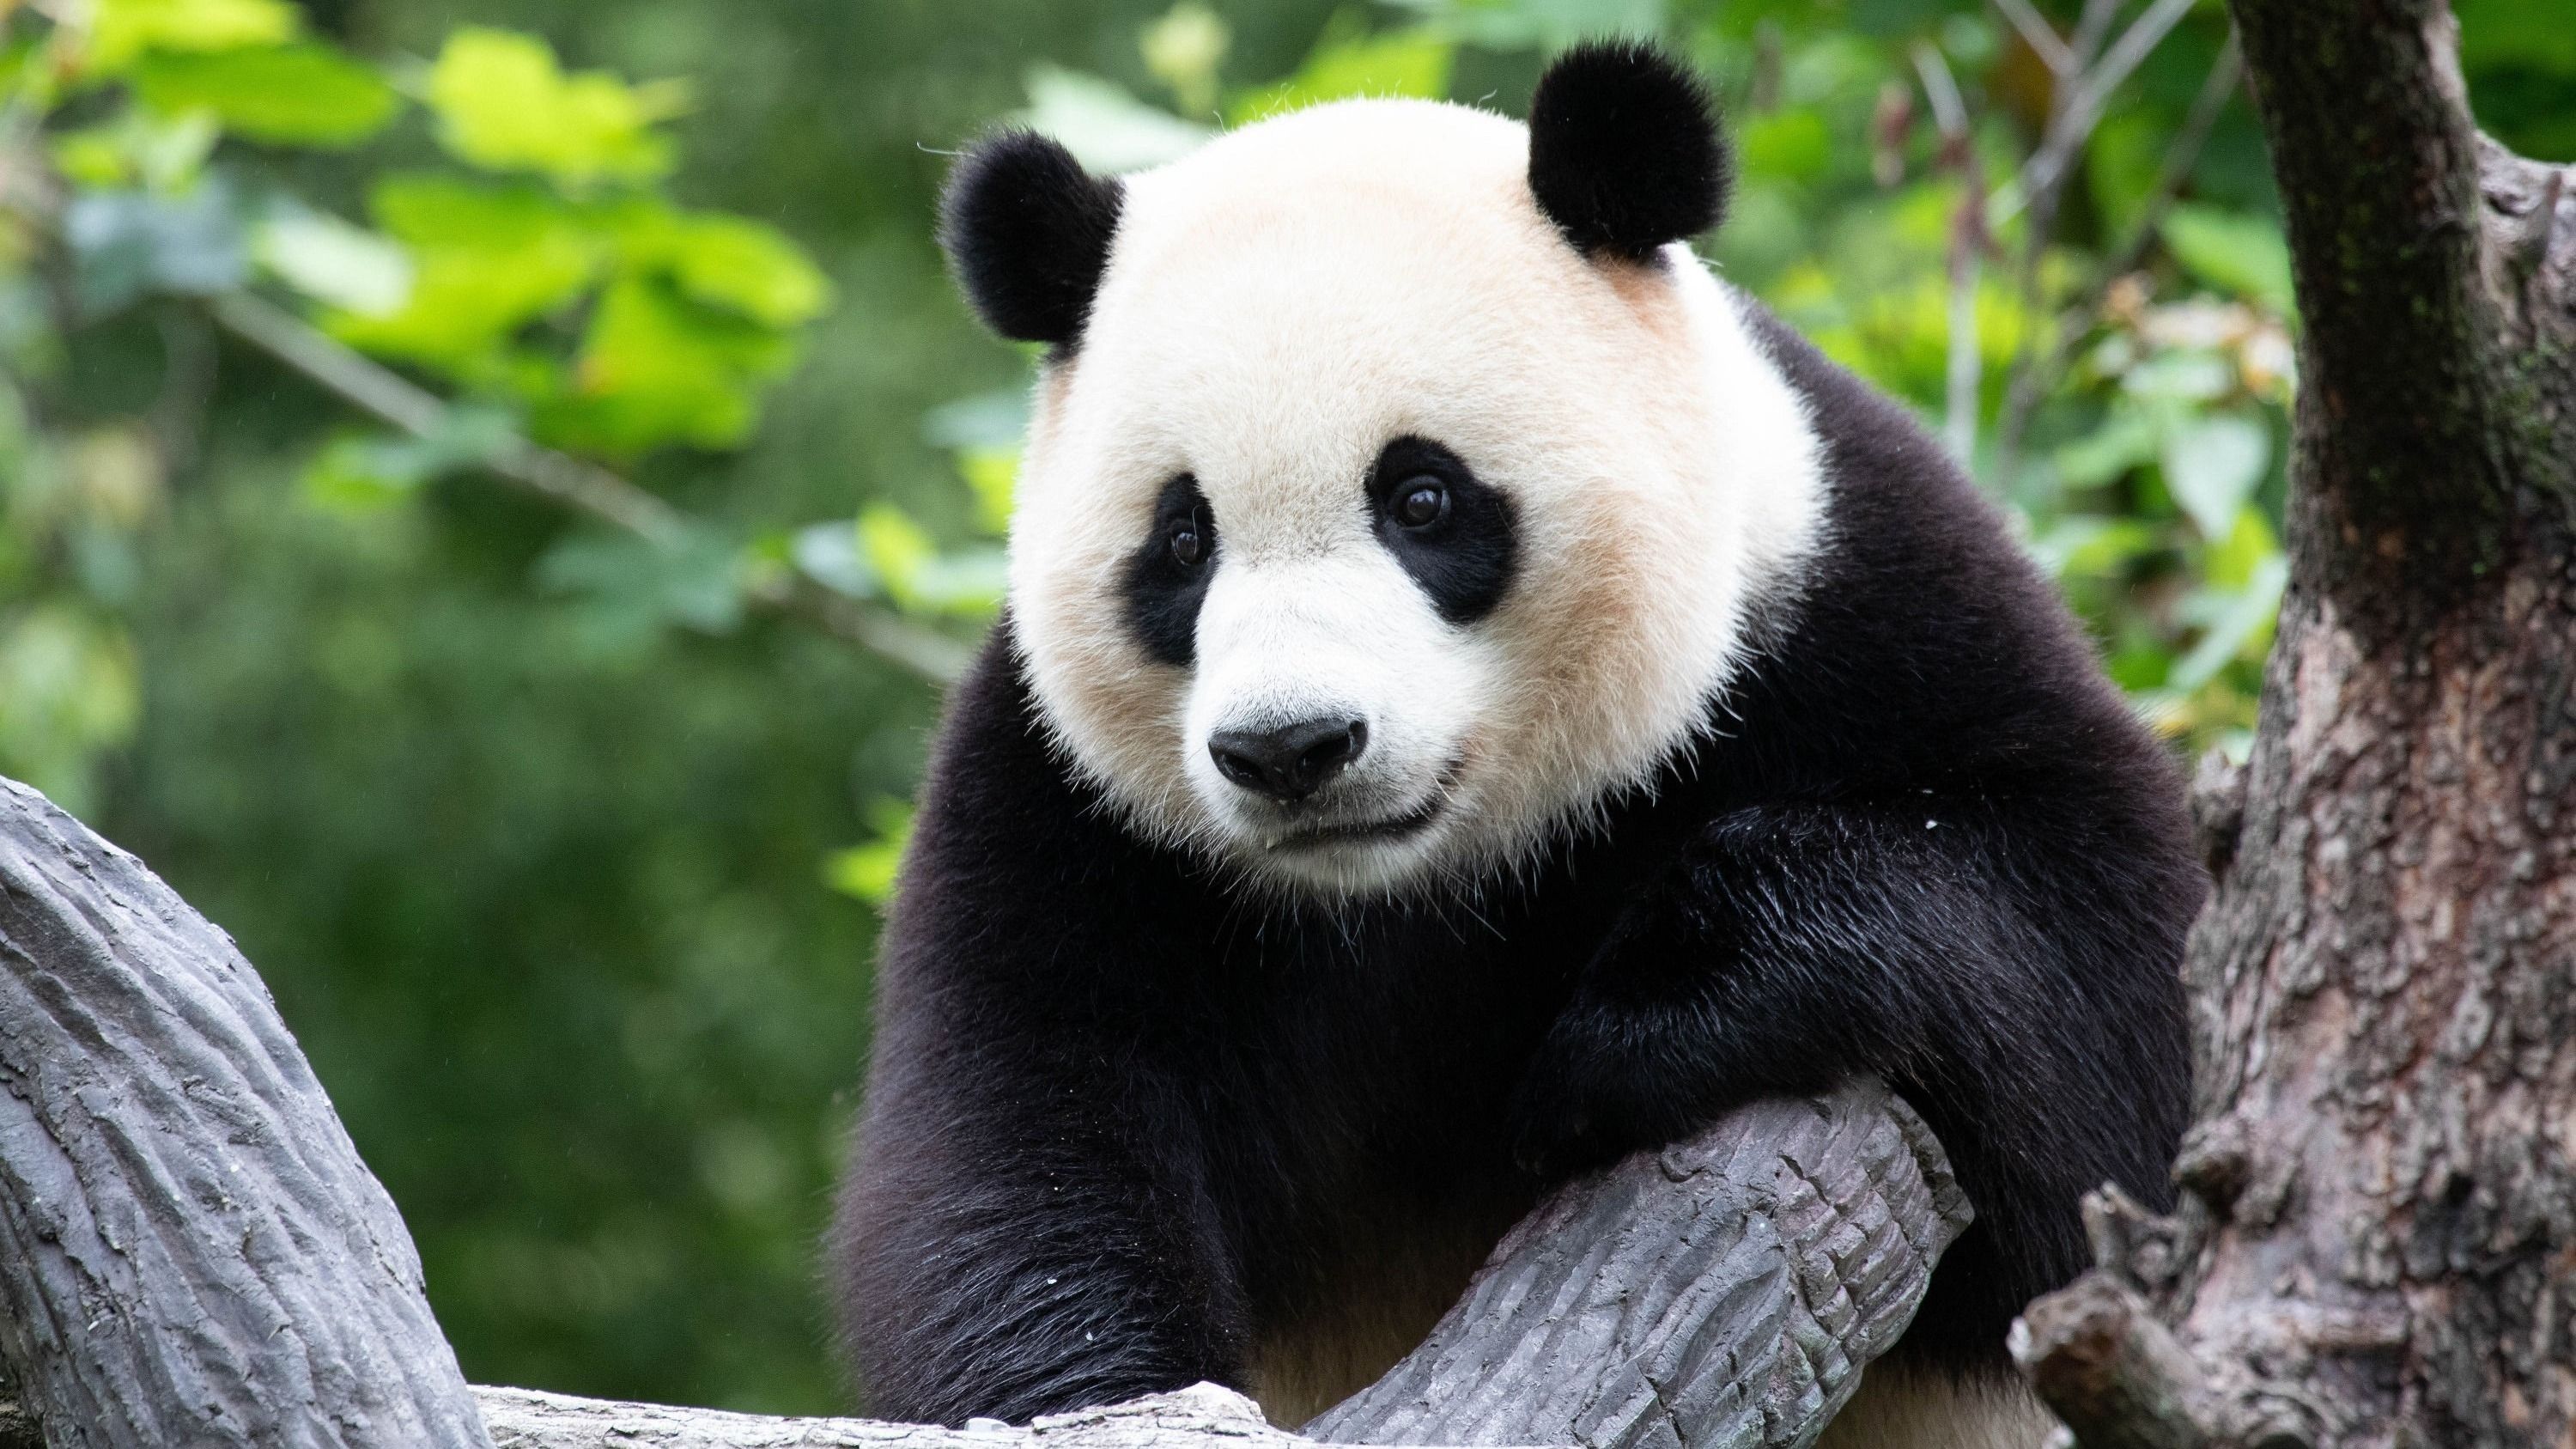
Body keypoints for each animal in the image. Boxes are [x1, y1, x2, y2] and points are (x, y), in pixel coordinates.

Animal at [830, 40, 2200, 1448]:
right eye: (1183, 538)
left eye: (1423, 497)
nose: (1291, 749)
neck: (1417, 884)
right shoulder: (1068, 804)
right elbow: (1018, 1123)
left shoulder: (1854, 598)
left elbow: (2108, 1000)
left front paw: (1635, 1028)